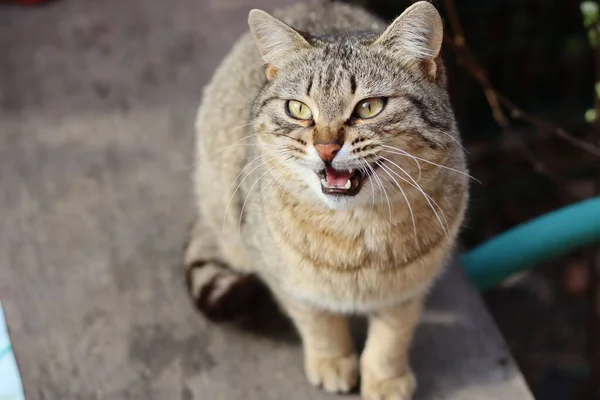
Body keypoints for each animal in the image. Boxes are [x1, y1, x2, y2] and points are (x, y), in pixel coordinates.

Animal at [185, 1, 472, 398]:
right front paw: (333, 361)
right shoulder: (287, 280)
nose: (325, 148)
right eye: (298, 109)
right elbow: (318, 323)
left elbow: (392, 336)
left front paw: (384, 379)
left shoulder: (408, 289)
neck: (355, 228)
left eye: (369, 107)